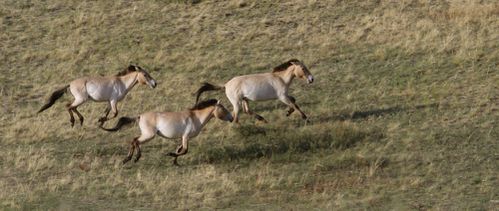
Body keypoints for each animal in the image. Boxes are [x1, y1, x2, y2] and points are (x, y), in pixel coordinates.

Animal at [101, 98, 236, 166]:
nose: (232, 118)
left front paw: (175, 162)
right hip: (149, 135)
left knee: (134, 141)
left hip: (147, 135)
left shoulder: (183, 137)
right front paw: (170, 155)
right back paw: (133, 158)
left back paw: (129, 159)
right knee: (135, 141)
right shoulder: (186, 136)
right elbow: (185, 150)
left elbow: (180, 149)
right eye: (223, 108)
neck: (195, 117)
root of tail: (140, 116)